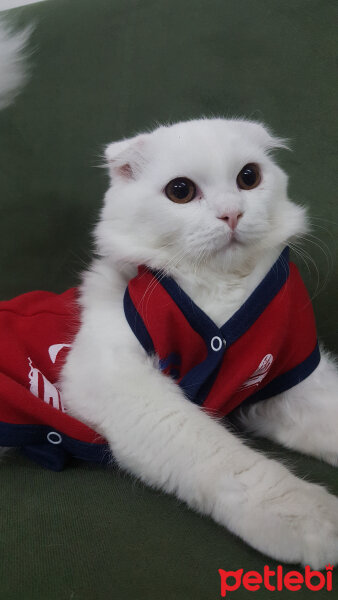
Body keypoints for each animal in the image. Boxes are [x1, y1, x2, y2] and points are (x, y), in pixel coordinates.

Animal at [58, 118, 336, 572]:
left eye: (248, 178)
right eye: (181, 191)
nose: (232, 213)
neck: (219, 290)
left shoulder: (281, 385)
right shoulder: (116, 380)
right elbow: (226, 458)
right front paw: (311, 519)